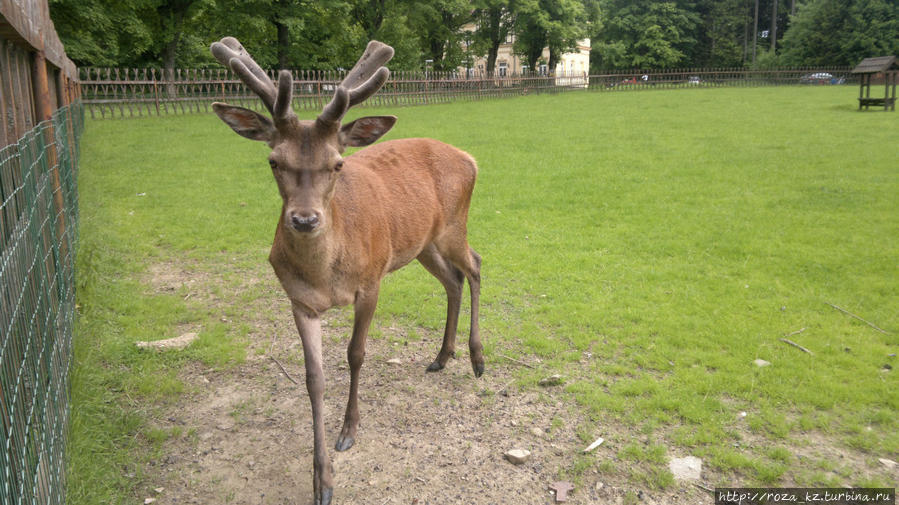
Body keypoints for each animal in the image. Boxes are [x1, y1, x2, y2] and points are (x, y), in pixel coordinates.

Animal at [208, 36, 486, 504]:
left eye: (337, 163)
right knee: (453, 279)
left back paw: (477, 358)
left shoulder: (371, 281)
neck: (326, 277)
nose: (304, 220)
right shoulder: (298, 301)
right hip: (421, 244)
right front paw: (322, 479)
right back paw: (441, 356)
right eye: (273, 161)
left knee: (477, 266)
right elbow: (313, 378)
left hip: (453, 226)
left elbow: (356, 354)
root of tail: (470, 157)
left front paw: (349, 430)